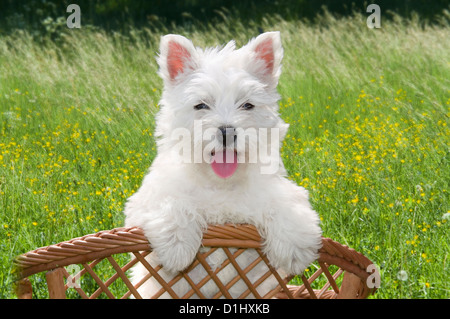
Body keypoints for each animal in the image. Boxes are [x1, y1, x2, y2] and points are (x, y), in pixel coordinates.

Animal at [122, 31, 320, 298]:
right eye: (201, 105)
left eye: (247, 105)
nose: (227, 132)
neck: (220, 183)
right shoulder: (144, 203)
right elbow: (173, 200)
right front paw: (176, 246)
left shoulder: (271, 188)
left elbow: (285, 201)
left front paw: (295, 250)